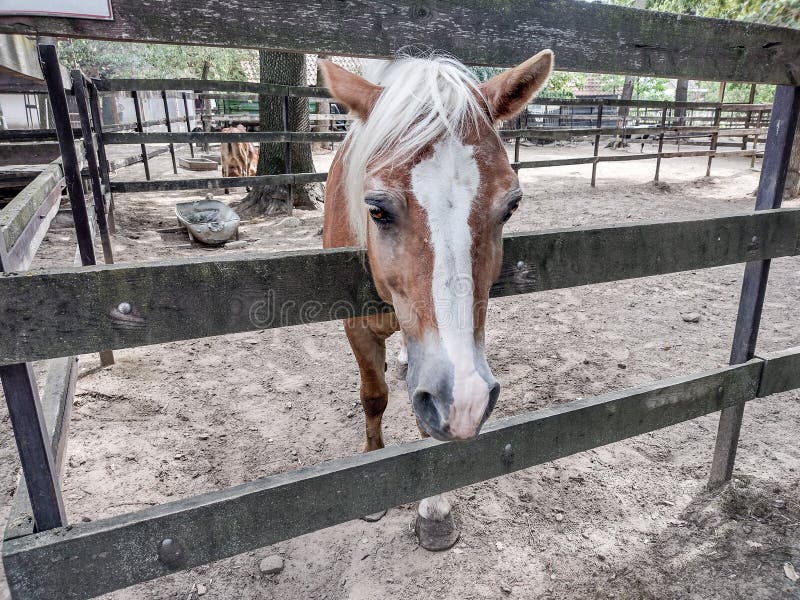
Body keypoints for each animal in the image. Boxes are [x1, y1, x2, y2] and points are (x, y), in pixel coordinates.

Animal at [320, 50, 553, 550]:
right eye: (377, 209)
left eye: (511, 206)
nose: (465, 399)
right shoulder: (354, 325)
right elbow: (374, 397)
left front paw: (435, 511)